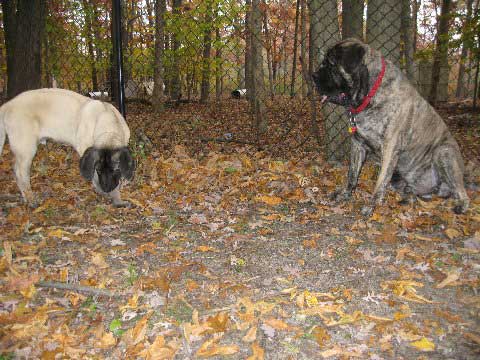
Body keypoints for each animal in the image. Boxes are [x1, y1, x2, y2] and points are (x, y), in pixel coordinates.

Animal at [312, 38, 468, 215]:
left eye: (331, 64)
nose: (313, 76)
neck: (370, 94)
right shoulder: (357, 145)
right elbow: (352, 174)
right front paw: (345, 194)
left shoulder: (389, 148)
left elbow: (380, 181)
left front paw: (371, 206)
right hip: (401, 177)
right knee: (412, 192)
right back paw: (407, 199)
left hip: (444, 153)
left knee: (461, 191)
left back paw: (461, 205)